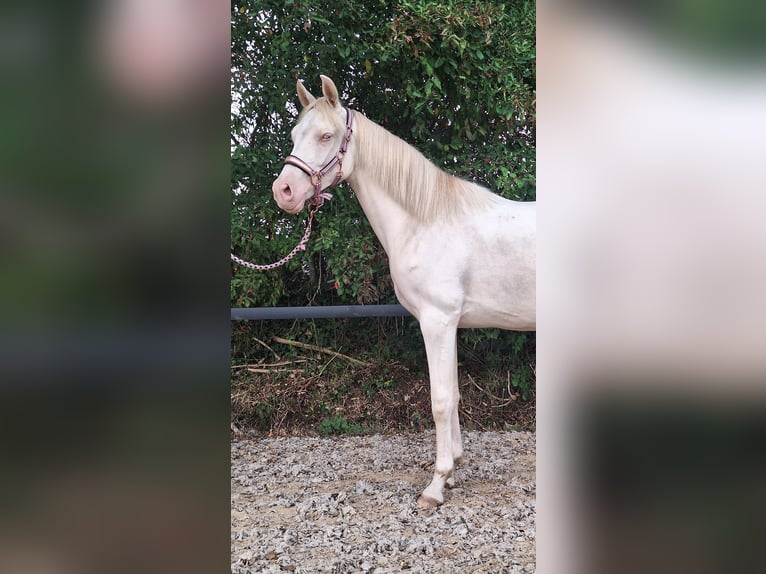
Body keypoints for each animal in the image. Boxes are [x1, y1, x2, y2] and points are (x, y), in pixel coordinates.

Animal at [272, 75, 536, 508]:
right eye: (295, 135)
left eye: (326, 135)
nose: (284, 191)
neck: (426, 220)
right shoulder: (450, 325)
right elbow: (455, 395)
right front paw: (454, 469)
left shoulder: (437, 322)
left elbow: (440, 401)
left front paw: (436, 485)